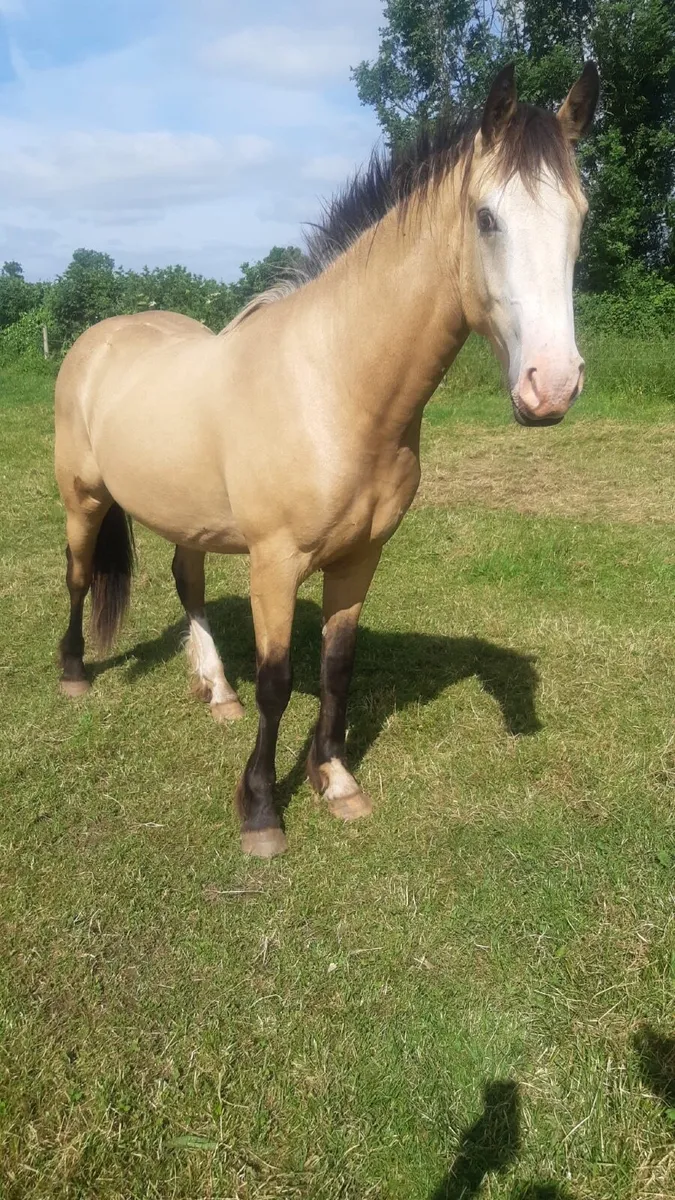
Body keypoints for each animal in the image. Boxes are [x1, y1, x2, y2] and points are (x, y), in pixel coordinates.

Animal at [54, 63, 599, 857]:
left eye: (579, 217)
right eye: (486, 217)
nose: (550, 386)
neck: (333, 386)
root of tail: (99, 338)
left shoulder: (360, 557)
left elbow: (338, 667)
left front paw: (336, 781)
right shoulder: (275, 563)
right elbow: (279, 680)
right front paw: (260, 812)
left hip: (185, 517)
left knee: (188, 582)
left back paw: (216, 691)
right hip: (82, 498)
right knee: (76, 575)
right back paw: (73, 673)